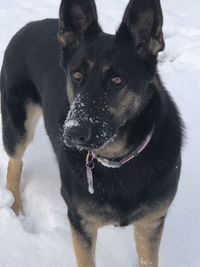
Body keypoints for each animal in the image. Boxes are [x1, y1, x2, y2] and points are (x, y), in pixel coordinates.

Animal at [0, 0, 184, 267]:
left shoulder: (150, 224)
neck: (118, 159)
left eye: (117, 80)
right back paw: (14, 207)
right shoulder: (81, 223)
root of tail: (29, 25)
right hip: (17, 126)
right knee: (15, 162)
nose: (72, 132)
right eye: (76, 75)